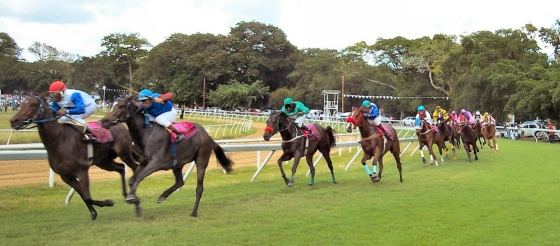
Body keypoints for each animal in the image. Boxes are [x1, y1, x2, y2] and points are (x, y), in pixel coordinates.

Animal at [10, 93, 139, 220]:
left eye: (32, 104)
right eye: (22, 104)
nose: (13, 121)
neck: (59, 140)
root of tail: (121, 126)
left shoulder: (82, 171)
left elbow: (87, 196)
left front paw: (108, 202)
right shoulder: (65, 176)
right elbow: (84, 195)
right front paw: (94, 212)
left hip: (124, 154)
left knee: (135, 167)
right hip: (103, 161)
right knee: (121, 168)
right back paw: (125, 195)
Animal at [99, 96, 233, 217]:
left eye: (121, 106)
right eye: (111, 105)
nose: (104, 121)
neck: (146, 133)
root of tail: (208, 136)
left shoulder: (156, 163)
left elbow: (140, 177)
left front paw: (131, 197)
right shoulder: (144, 162)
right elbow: (132, 180)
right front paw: (136, 202)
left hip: (201, 160)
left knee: (199, 188)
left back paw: (194, 212)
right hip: (177, 163)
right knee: (180, 182)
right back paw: (163, 196)